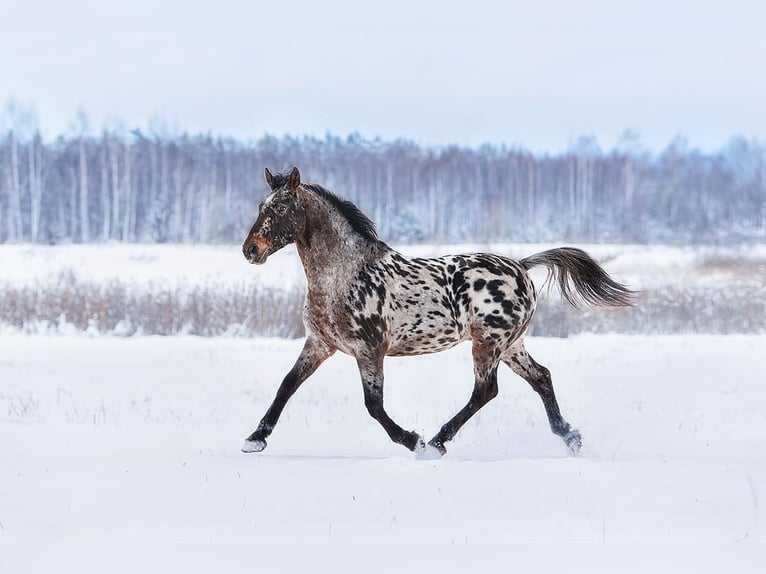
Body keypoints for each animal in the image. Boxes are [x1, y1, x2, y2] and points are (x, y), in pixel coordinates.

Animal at [242, 166, 636, 460]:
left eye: (281, 208)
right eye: (261, 205)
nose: (251, 250)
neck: (345, 274)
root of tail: (522, 267)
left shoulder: (369, 349)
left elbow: (374, 406)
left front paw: (414, 441)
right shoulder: (320, 344)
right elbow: (287, 385)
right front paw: (255, 439)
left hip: (488, 342)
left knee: (486, 390)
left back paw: (437, 442)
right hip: (510, 345)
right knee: (541, 377)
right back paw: (570, 437)